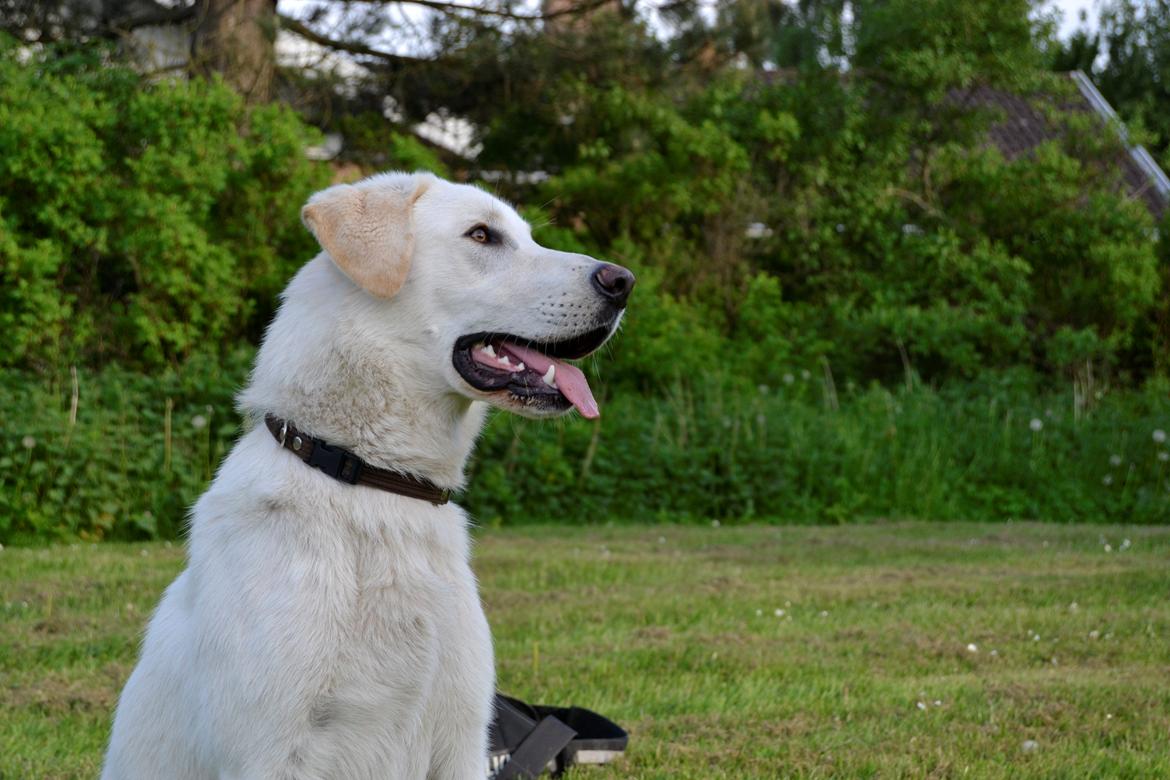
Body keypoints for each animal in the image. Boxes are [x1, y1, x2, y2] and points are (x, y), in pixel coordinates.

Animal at [105, 174, 636, 780]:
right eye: (482, 235)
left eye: (527, 236)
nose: (623, 281)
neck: (377, 481)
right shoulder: (269, 752)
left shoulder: (462, 740)